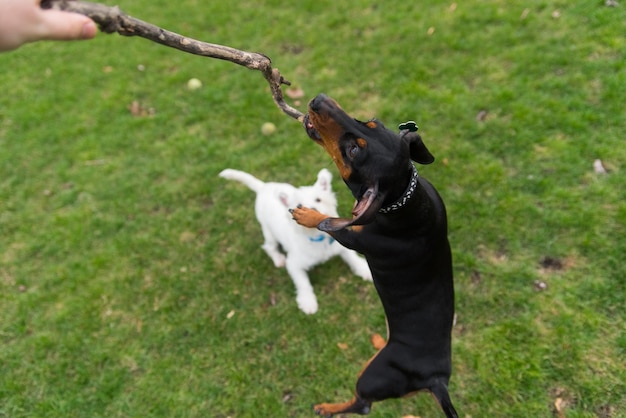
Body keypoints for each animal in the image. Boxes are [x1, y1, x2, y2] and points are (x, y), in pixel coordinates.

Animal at [218, 167, 370, 314]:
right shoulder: (294, 265)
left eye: (318, 200)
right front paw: (308, 302)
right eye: (299, 205)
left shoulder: (341, 247)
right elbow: (303, 283)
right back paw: (278, 259)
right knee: (268, 247)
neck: (317, 237)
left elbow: (353, 258)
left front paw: (364, 270)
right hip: (269, 232)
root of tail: (264, 187)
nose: (313, 211)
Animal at [290, 94, 456, 418]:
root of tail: (437, 380)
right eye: (371, 122)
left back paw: (326, 407)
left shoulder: (353, 236)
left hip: (372, 375)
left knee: (362, 403)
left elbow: (328, 221)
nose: (318, 100)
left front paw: (307, 214)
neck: (402, 198)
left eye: (353, 151)